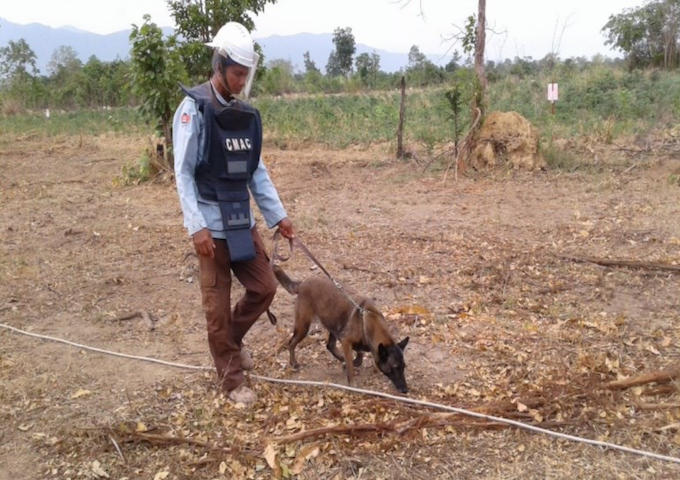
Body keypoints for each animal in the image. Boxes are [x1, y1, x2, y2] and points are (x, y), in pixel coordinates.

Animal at [270, 264, 410, 392]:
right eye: (394, 368)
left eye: (403, 367)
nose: (405, 390)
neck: (369, 320)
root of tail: (303, 283)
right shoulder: (346, 341)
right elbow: (351, 365)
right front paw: (352, 382)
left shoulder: (355, 342)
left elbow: (358, 359)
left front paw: (350, 363)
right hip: (303, 327)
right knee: (291, 342)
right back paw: (293, 362)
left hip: (332, 324)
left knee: (330, 346)